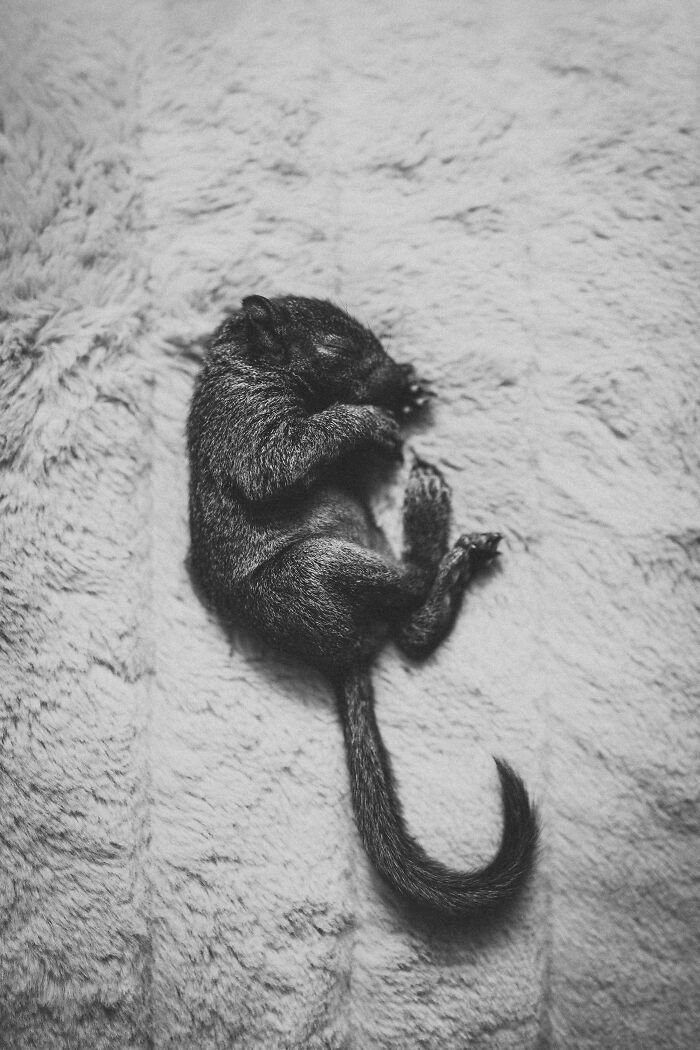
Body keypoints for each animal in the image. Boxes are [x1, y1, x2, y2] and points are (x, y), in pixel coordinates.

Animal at [187, 294, 538, 917]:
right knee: (413, 593)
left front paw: (409, 393)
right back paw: (427, 513)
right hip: (315, 569)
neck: (241, 362)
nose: (397, 377)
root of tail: (342, 655)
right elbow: (286, 456)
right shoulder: (245, 430)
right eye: (338, 346)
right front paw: (375, 421)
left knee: (413, 625)